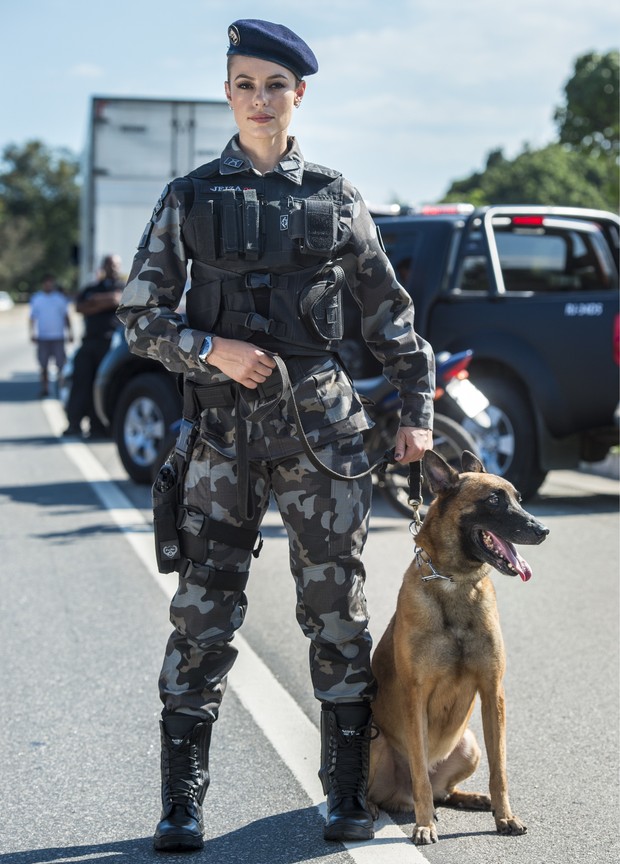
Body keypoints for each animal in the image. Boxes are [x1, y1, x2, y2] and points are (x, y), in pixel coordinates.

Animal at [368, 452, 548, 844]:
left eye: (518, 499)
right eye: (494, 499)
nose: (543, 529)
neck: (456, 584)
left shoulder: (493, 692)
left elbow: (500, 770)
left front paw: (504, 816)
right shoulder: (415, 697)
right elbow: (419, 771)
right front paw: (424, 825)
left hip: (468, 745)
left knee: (444, 792)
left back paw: (474, 799)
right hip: (374, 742)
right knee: (400, 789)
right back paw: (378, 808)